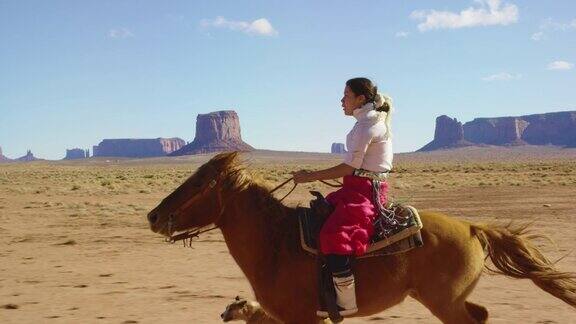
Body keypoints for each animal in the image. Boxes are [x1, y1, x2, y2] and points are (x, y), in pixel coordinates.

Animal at [147, 153, 576, 324]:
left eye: (198, 184)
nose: (153, 216)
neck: (275, 244)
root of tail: (473, 228)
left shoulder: (303, 318)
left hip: (445, 302)